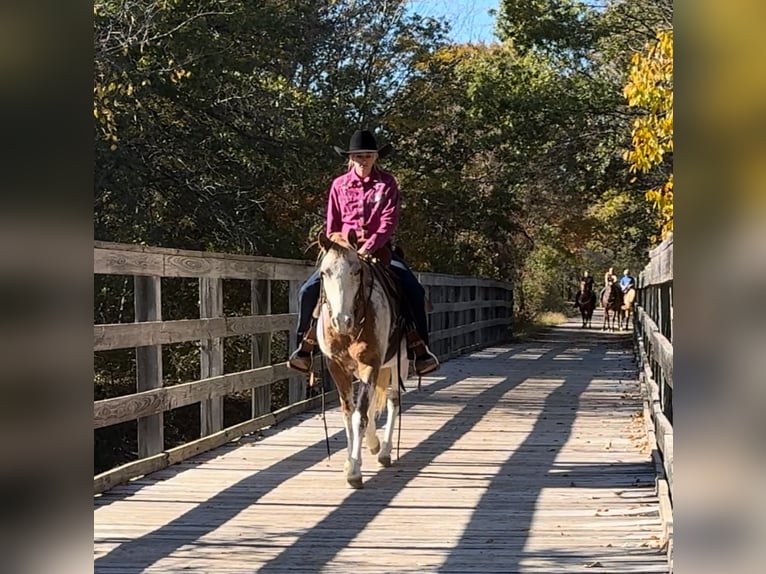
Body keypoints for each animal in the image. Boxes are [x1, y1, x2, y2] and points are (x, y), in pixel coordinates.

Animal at [316, 231, 412, 490]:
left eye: (356, 271)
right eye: (324, 272)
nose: (342, 321)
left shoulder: (371, 364)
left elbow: (360, 415)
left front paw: (355, 472)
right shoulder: (337, 368)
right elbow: (349, 413)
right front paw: (350, 462)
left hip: (399, 363)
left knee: (393, 402)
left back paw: (385, 451)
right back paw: (373, 443)